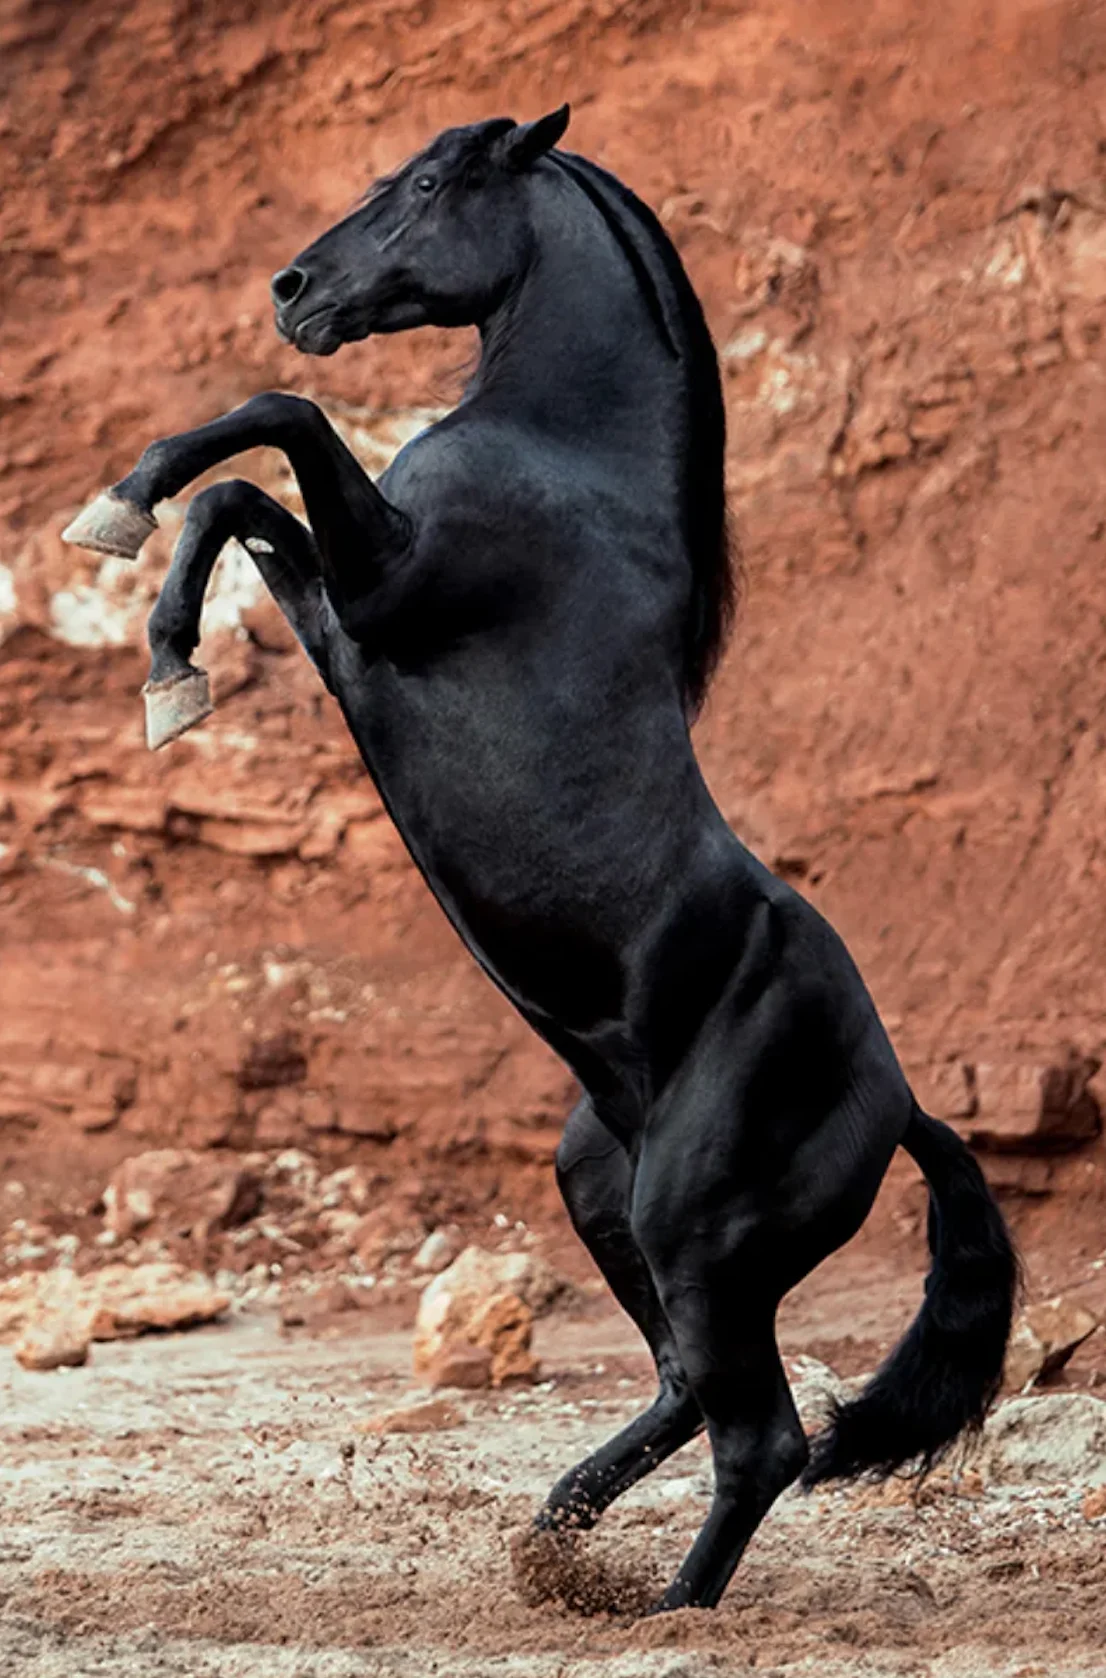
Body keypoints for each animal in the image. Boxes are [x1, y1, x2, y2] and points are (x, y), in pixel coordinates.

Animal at [62, 106, 1017, 1614]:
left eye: (429, 180)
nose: (293, 291)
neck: (570, 459)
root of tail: (904, 1104)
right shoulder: (349, 614)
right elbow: (246, 504)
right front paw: (169, 664)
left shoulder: (385, 588)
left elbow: (270, 433)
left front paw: (122, 525)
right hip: (601, 1189)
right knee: (687, 1385)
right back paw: (556, 1528)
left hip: (692, 1223)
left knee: (760, 1432)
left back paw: (664, 1605)